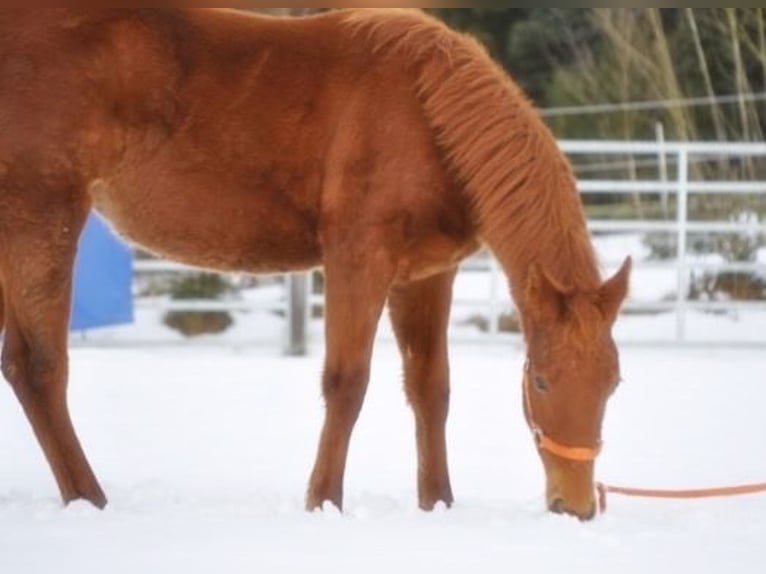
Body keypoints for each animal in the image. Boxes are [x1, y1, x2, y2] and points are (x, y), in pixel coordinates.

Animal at [0, 8, 630, 520]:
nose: (575, 507)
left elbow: (431, 388)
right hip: (41, 218)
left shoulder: (426, 277)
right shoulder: (358, 260)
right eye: (541, 380)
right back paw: (89, 499)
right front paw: (324, 501)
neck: (425, 110)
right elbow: (347, 382)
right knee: (41, 368)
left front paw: (439, 504)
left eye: (614, 383)